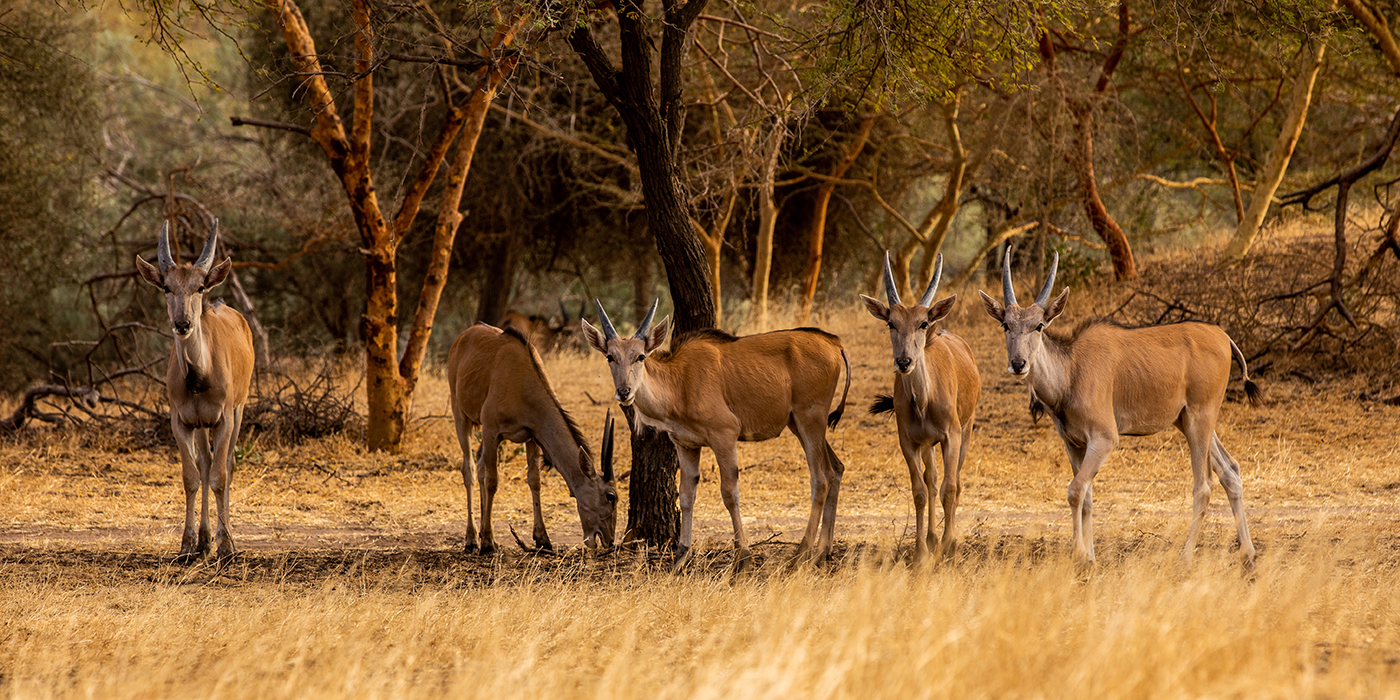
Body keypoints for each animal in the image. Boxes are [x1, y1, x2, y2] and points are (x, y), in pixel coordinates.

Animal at [135, 220, 255, 563]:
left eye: (199, 287)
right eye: (167, 287)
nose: (183, 323)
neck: (198, 379)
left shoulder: (225, 418)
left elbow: (220, 475)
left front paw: (226, 546)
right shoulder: (182, 421)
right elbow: (191, 477)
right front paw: (189, 544)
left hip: (240, 409)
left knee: (226, 464)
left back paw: (224, 539)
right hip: (202, 426)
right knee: (204, 464)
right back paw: (204, 540)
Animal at [447, 323, 617, 553]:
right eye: (610, 496)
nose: (609, 540)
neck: (523, 381)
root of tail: (462, 338)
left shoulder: (531, 435)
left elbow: (534, 480)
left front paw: (542, 537)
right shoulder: (492, 430)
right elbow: (492, 480)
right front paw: (488, 542)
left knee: (480, 465)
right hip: (460, 415)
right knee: (470, 469)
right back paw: (473, 538)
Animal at [582, 300, 851, 570]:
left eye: (640, 356)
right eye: (610, 357)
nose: (624, 392)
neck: (679, 382)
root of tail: (835, 343)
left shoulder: (725, 435)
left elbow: (730, 494)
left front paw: (743, 557)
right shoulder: (686, 445)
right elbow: (686, 496)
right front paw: (680, 556)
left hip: (810, 420)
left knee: (821, 478)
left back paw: (800, 554)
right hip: (800, 424)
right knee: (835, 469)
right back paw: (822, 552)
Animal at [862, 253, 981, 560]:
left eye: (923, 323)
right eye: (891, 323)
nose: (904, 361)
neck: (924, 403)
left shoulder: (952, 436)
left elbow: (950, 488)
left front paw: (950, 545)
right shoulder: (909, 442)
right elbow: (920, 491)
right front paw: (921, 551)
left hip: (967, 428)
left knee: (955, 482)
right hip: (928, 445)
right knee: (931, 480)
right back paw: (931, 538)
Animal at [979, 250, 1260, 565]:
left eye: (1039, 325)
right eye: (1006, 325)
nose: (1018, 364)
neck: (1071, 369)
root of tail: (1224, 338)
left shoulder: (1104, 439)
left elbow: (1075, 490)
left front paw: (1079, 554)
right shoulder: (1074, 444)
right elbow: (1087, 496)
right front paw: (1089, 556)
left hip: (1200, 418)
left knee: (1204, 485)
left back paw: (1186, 556)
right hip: (1189, 421)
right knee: (1230, 471)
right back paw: (1248, 552)